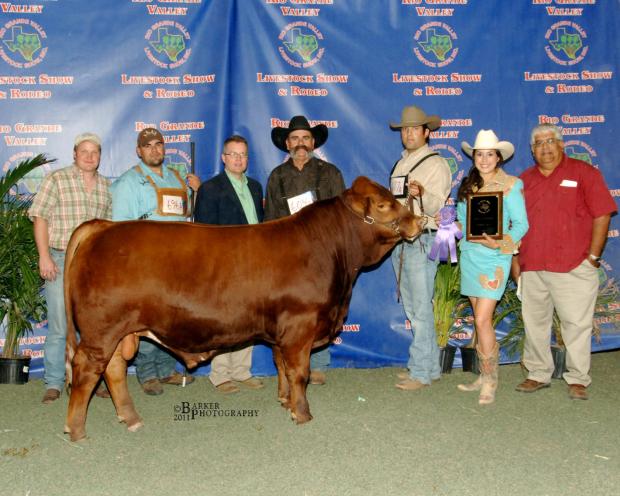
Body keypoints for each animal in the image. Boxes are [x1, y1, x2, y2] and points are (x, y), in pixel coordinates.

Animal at [63, 176, 418, 440]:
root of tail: (103, 225)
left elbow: (281, 366)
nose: (417, 221)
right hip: (102, 330)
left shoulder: (281, 332)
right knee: (87, 369)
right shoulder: (300, 325)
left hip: (119, 332)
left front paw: (285, 401)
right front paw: (302, 413)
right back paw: (77, 429)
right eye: (384, 205)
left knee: (113, 370)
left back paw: (130, 417)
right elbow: (299, 372)